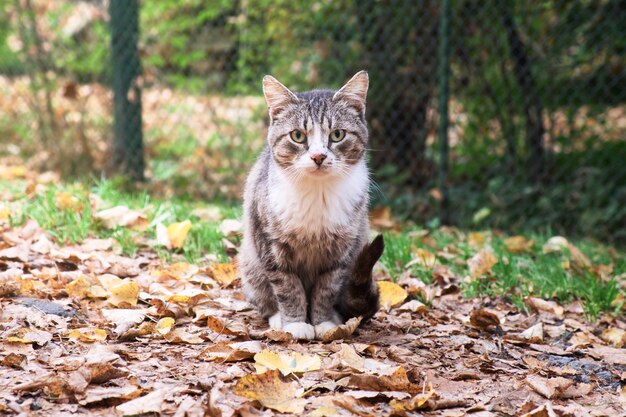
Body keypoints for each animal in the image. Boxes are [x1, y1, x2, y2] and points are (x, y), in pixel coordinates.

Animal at [238, 70, 380, 338]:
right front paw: (295, 324)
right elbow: (288, 288)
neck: (317, 194)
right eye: (298, 136)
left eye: (337, 134)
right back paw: (277, 318)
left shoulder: (341, 253)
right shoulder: (271, 247)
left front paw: (323, 323)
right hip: (250, 262)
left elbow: (326, 289)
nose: (318, 156)